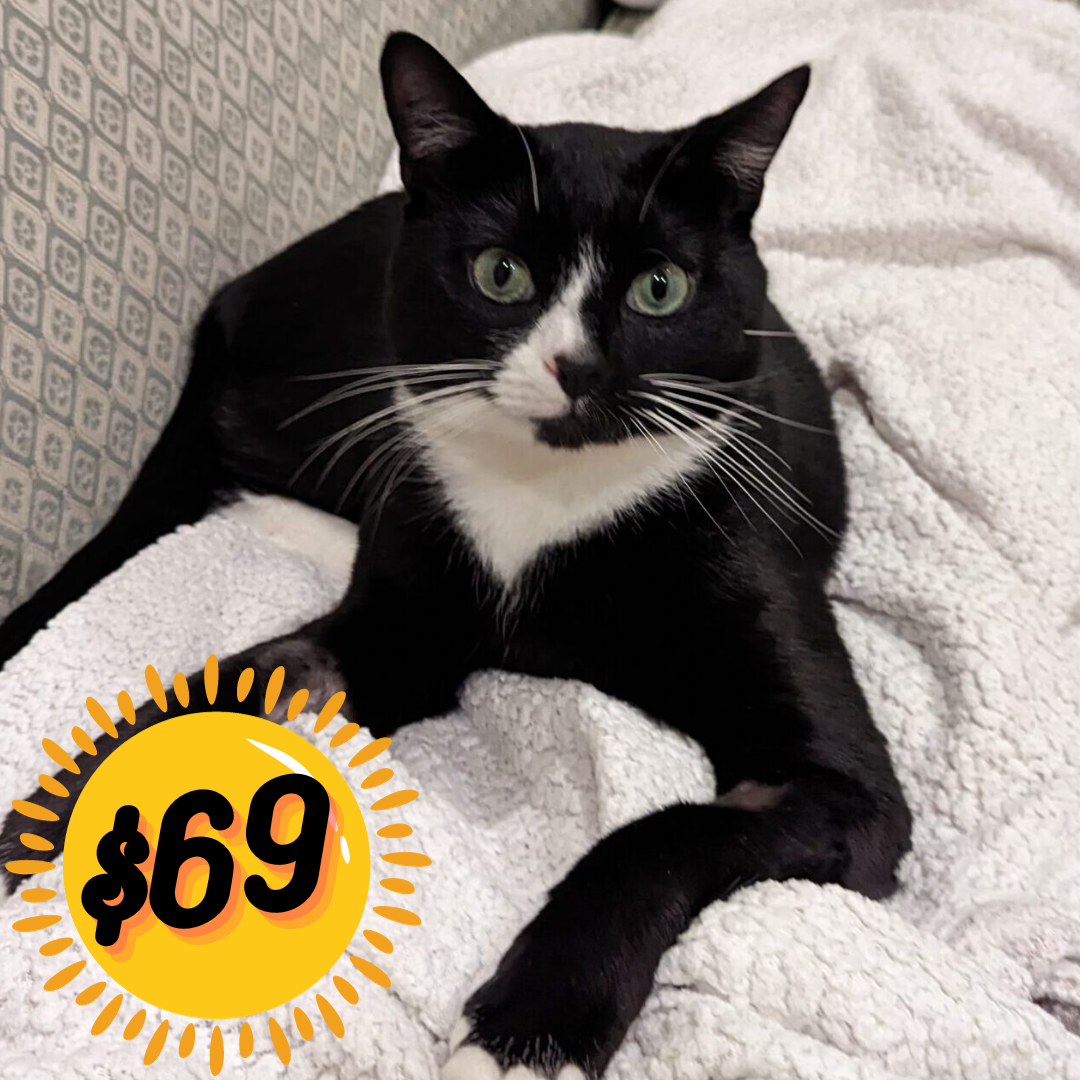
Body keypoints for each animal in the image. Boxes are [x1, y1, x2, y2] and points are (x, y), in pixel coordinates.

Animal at [0, 32, 911, 1080]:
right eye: (498, 275)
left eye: (662, 288)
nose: (575, 367)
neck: (544, 501)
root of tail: (243, 290)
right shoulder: (398, 622)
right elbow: (244, 679)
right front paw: (63, 812)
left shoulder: (835, 774)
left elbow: (663, 836)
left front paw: (528, 1032)